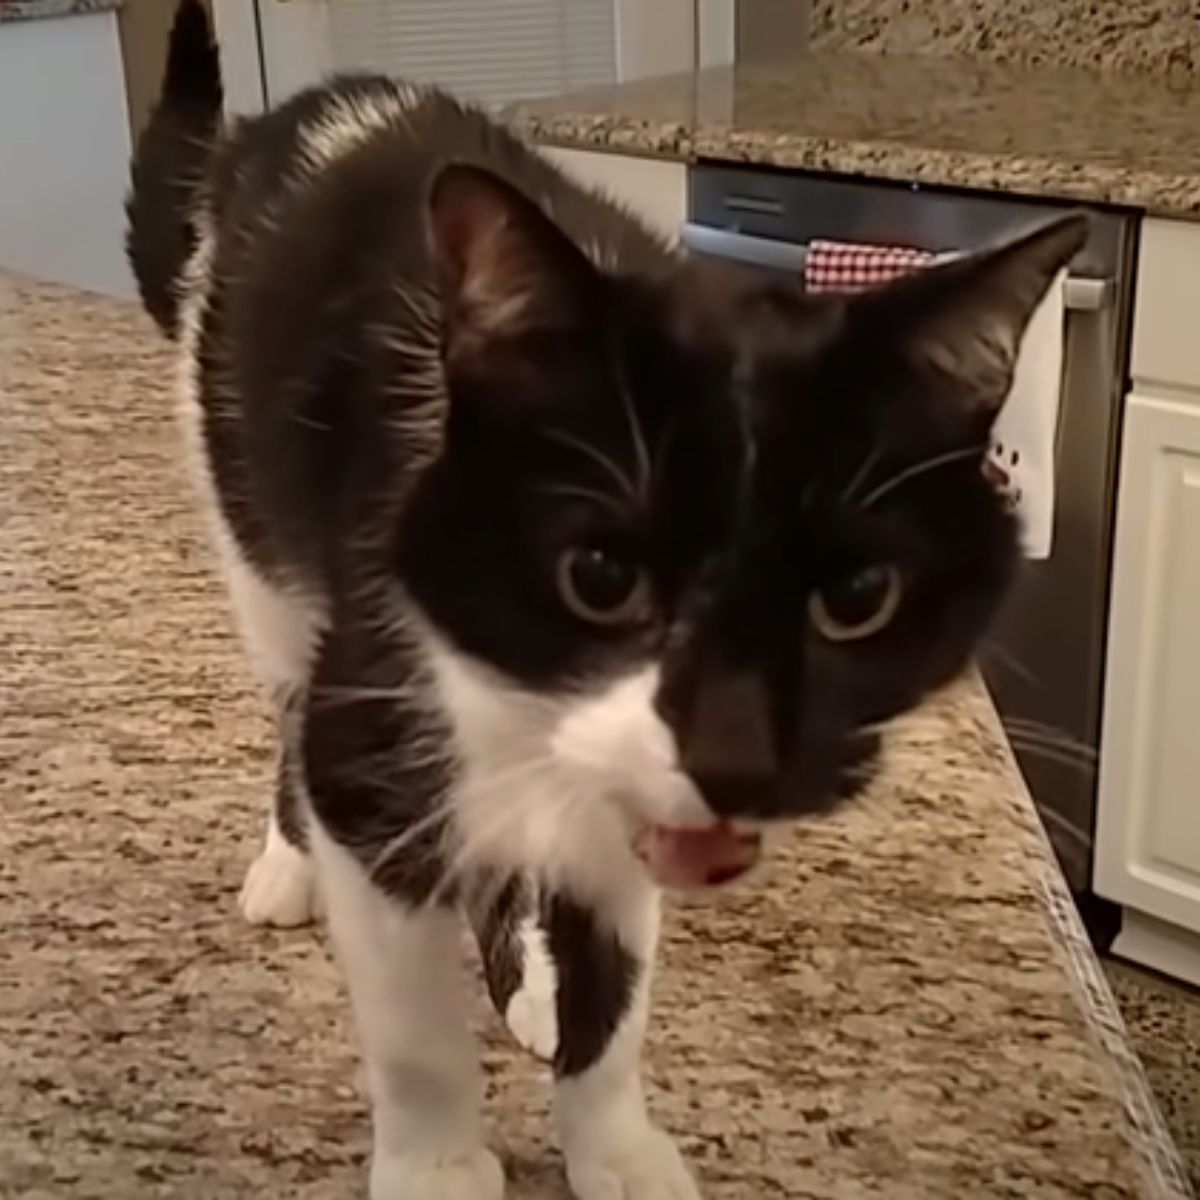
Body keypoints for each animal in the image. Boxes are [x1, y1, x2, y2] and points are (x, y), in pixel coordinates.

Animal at [129, 4, 1089, 1195]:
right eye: (599, 576)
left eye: (858, 597)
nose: (738, 758)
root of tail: (303, 114)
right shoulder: (389, 684)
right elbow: (410, 1007)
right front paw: (437, 1160)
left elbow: (614, 973)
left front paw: (610, 1138)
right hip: (245, 509)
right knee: (288, 689)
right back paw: (289, 859)